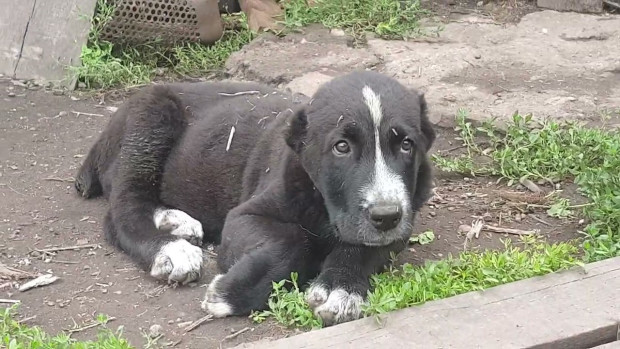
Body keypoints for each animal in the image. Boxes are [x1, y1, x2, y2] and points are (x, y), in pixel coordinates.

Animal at [75, 69, 436, 324]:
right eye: (342, 147)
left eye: (406, 145)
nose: (386, 215)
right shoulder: (244, 218)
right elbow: (293, 240)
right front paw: (231, 292)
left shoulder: (400, 225)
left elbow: (362, 248)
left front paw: (341, 288)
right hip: (152, 120)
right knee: (123, 210)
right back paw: (171, 249)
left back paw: (175, 220)